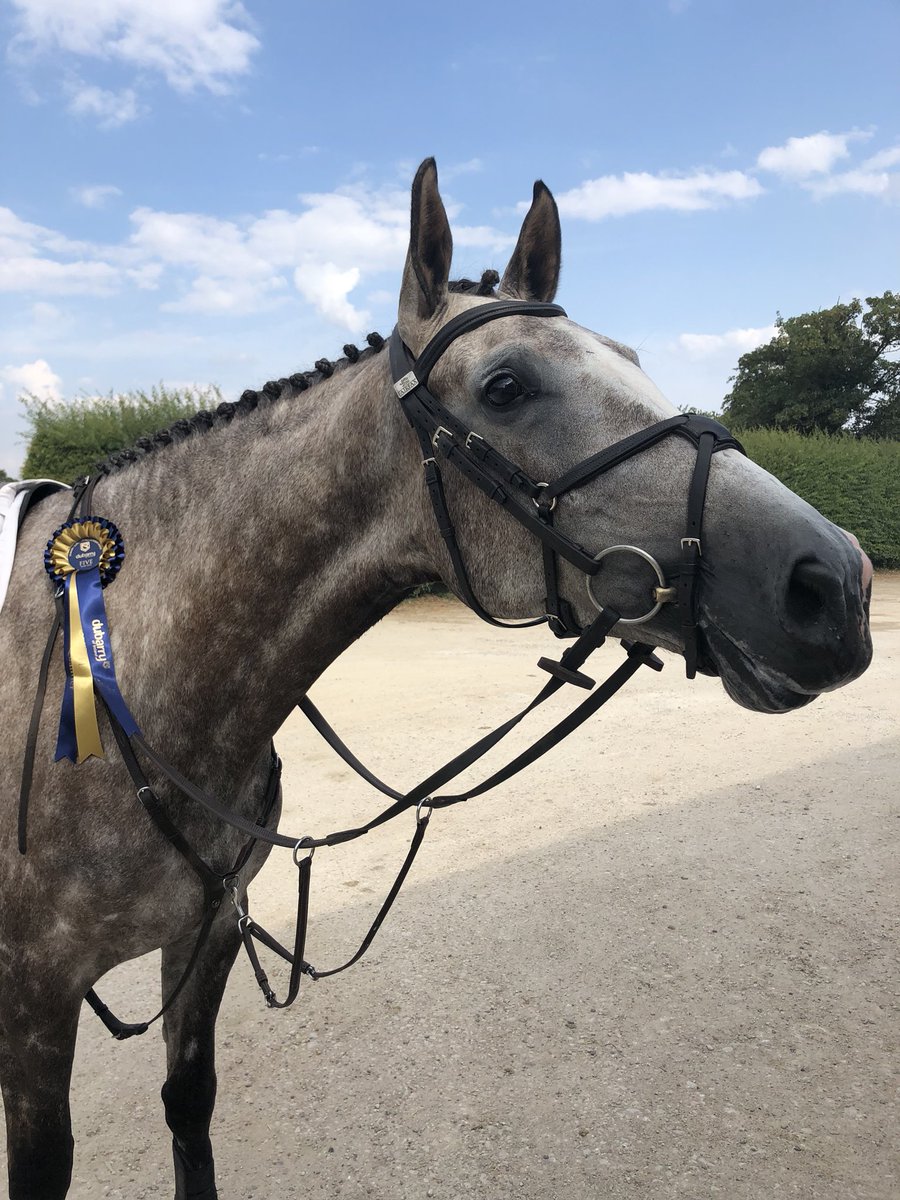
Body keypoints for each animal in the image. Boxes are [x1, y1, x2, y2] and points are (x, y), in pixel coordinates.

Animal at [0, 159, 872, 1199]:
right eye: (504, 385)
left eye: (631, 355)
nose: (838, 584)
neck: (128, 684)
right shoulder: (35, 1000)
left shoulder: (205, 937)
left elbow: (189, 1109)